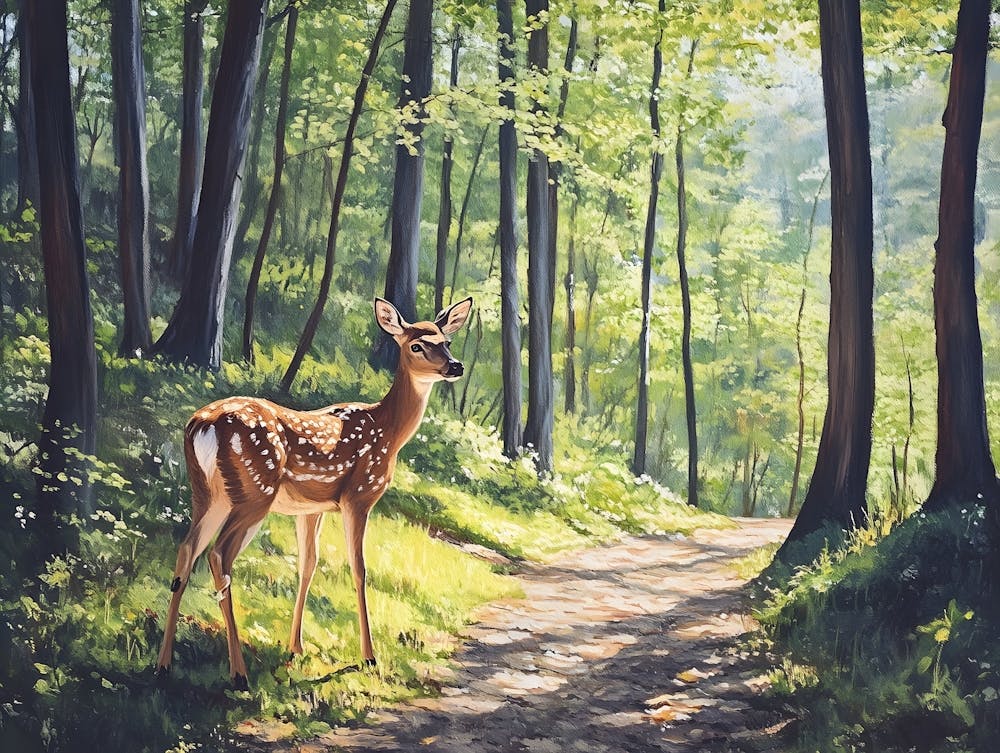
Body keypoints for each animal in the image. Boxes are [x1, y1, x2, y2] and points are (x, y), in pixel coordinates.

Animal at [155, 297, 473, 688]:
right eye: (416, 345)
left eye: (446, 341)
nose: (455, 366)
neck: (389, 432)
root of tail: (200, 425)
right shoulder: (358, 497)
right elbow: (359, 568)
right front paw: (368, 656)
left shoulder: (312, 509)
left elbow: (308, 565)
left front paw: (295, 648)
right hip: (254, 492)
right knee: (219, 556)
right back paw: (238, 672)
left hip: (208, 494)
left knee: (186, 550)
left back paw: (163, 665)